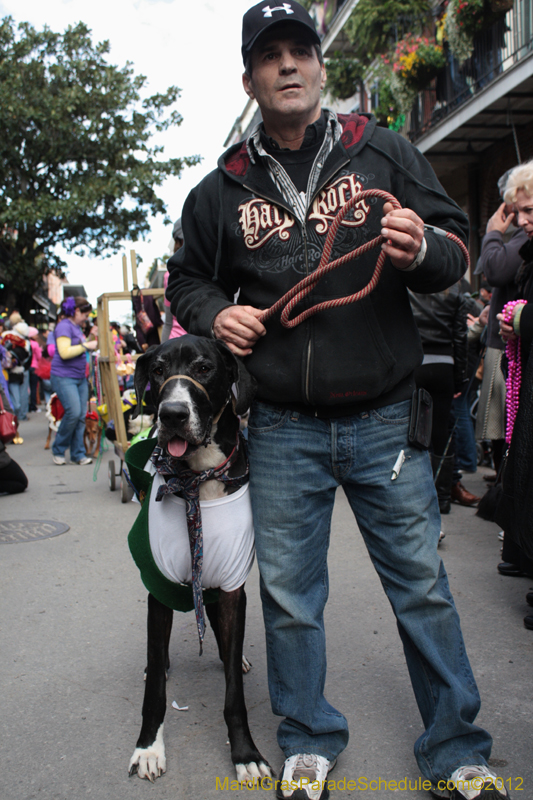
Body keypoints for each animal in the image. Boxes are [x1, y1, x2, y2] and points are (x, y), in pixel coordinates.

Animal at [128, 334, 270, 784]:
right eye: (158, 370)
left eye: (205, 368)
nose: (171, 413)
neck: (198, 480)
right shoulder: (159, 586)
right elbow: (154, 687)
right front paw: (148, 748)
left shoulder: (233, 587)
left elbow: (234, 693)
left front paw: (245, 753)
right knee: (157, 655)